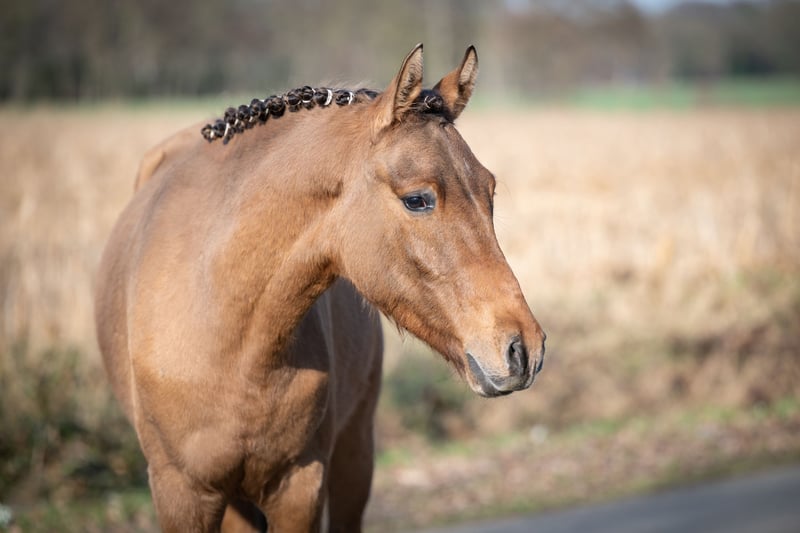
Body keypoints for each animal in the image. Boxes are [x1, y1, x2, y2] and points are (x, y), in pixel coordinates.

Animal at [94, 44, 546, 533]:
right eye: (417, 199)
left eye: (489, 190)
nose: (524, 349)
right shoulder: (182, 493)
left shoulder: (300, 487)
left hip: (354, 454)